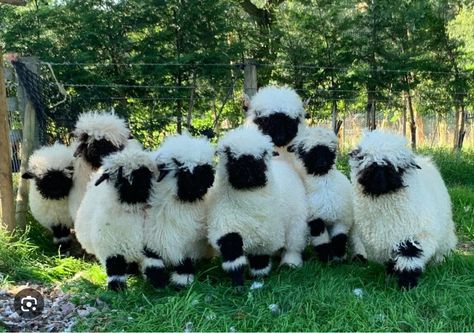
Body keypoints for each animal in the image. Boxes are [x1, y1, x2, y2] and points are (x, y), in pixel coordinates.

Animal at [75, 147, 155, 290]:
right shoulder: (111, 248)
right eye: (120, 177)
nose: (140, 191)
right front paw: (117, 289)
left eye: (146, 173)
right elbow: (115, 270)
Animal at [141, 132, 215, 288]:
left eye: (205, 168)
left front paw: (182, 281)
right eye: (183, 171)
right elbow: (152, 260)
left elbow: (184, 263)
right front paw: (156, 281)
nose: (208, 181)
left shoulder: (190, 245)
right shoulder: (152, 236)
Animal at [207, 124, 308, 286]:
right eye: (231, 156)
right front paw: (238, 282)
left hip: (296, 222)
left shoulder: (266, 232)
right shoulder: (225, 225)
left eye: (262, 155)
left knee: (294, 244)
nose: (247, 173)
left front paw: (259, 276)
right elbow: (232, 253)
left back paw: (290, 263)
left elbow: (259, 258)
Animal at [286, 126, 354, 262]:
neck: (325, 190)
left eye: (328, 149)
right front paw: (328, 259)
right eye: (304, 151)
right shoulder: (315, 219)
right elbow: (321, 240)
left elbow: (339, 238)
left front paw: (339, 257)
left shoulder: (341, 218)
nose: (321, 163)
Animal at [350, 130, 458, 288]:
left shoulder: (415, 236)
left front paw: (406, 284)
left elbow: (409, 259)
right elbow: (392, 259)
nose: (379, 180)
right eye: (368, 163)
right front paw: (392, 275)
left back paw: (439, 262)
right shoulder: (385, 240)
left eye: (397, 167)